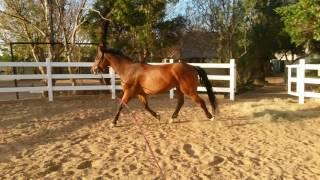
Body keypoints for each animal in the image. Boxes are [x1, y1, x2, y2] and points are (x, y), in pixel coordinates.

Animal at [91, 45, 219, 126]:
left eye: (97, 58)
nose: (93, 69)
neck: (129, 70)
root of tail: (192, 67)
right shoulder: (141, 93)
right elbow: (146, 107)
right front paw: (157, 116)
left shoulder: (129, 92)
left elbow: (121, 105)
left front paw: (113, 122)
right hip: (180, 89)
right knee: (180, 102)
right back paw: (171, 119)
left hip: (189, 90)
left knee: (201, 102)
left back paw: (211, 117)